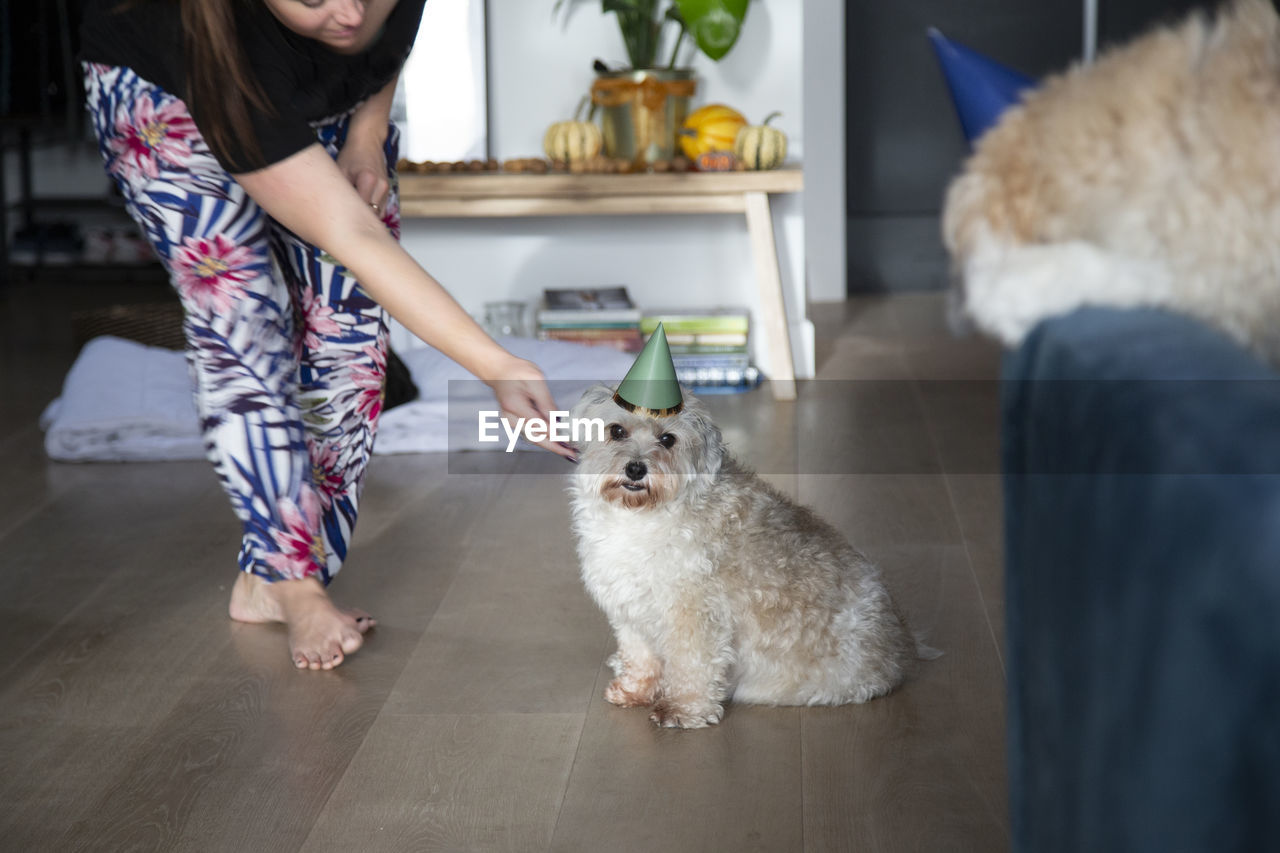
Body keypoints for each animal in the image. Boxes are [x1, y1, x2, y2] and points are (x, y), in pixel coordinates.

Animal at [568, 384, 921, 722]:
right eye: (616, 431)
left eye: (667, 439)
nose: (636, 469)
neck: (640, 515)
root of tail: (903, 651)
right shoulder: (631, 610)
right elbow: (640, 657)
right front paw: (635, 691)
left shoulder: (694, 614)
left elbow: (690, 664)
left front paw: (684, 708)